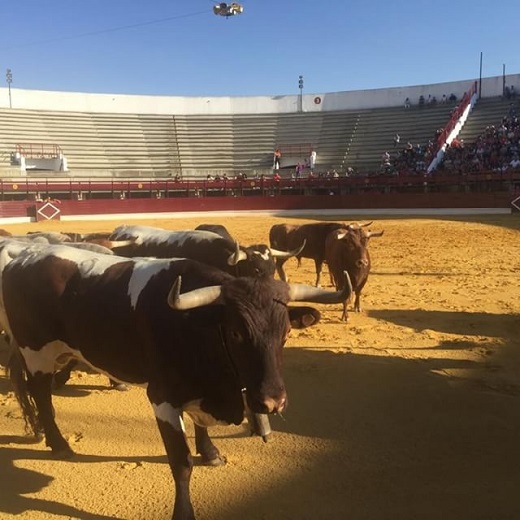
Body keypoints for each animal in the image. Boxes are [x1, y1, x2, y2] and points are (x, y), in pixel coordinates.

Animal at [4, 245, 352, 520]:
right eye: (237, 333)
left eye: (286, 333)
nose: (272, 402)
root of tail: (22, 257)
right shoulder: (162, 398)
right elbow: (181, 463)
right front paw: (184, 511)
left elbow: (201, 425)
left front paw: (210, 452)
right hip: (35, 351)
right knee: (40, 393)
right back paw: (59, 444)